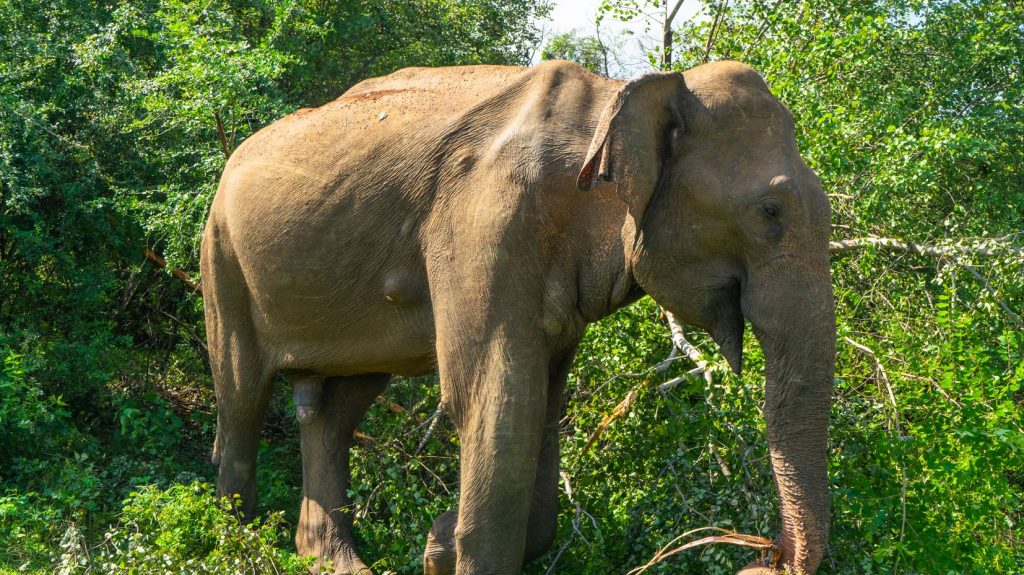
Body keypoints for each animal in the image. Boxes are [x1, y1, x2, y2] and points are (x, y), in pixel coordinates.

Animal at [199, 59, 831, 572]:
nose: (767, 556)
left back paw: (332, 561)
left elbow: (545, 402)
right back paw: (237, 542)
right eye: (770, 212)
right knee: (241, 397)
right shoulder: (484, 221)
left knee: (336, 409)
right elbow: (500, 402)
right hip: (221, 256)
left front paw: (438, 544)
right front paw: (446, 541)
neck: (614, 102)